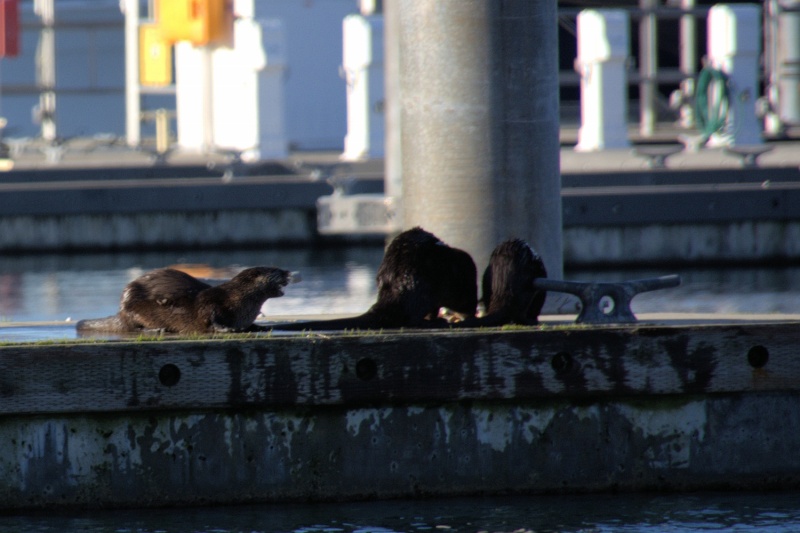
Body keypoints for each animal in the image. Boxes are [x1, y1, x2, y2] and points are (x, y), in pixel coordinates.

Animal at [76, 266, 298, 335]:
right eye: (277, 270)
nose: (289, 272)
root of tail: (120, 310)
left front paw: (258, 327)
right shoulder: (213, 304)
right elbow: (210, 315)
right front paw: (226, 329)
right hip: (133, 308)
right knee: (134, 326)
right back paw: (156, 329)